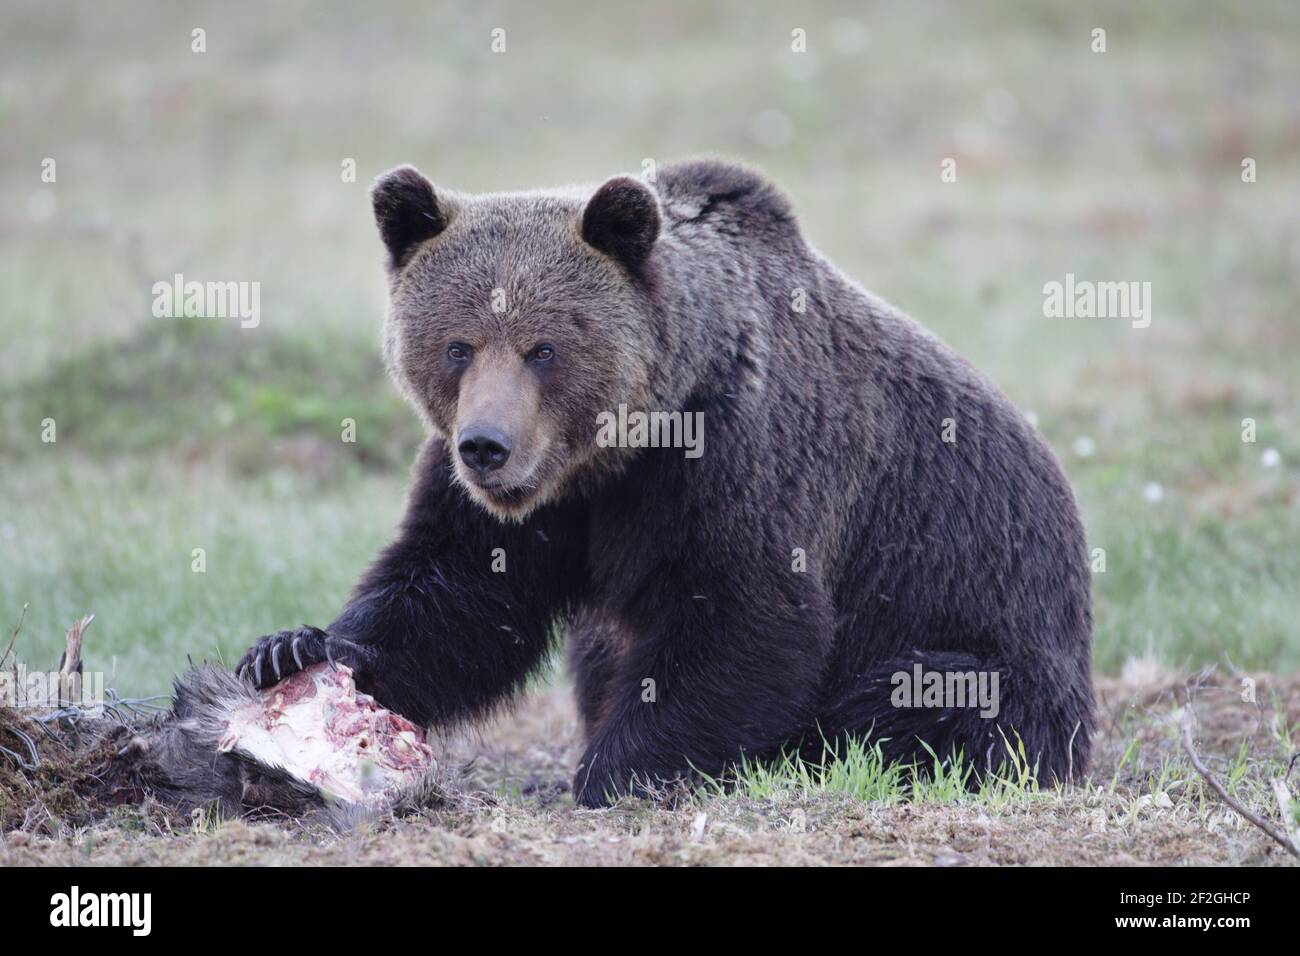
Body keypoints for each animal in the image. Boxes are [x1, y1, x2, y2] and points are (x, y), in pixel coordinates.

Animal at [236, 158, 1094, 806]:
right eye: (456, 345)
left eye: (544, 348)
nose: (487, 447)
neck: (623, 450)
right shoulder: (532, 504)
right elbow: (460, 593)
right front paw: (292, 650)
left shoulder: (741, 460)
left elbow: (746, 620)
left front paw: (619, 771)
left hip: (1001, 636)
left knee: (924, 699)